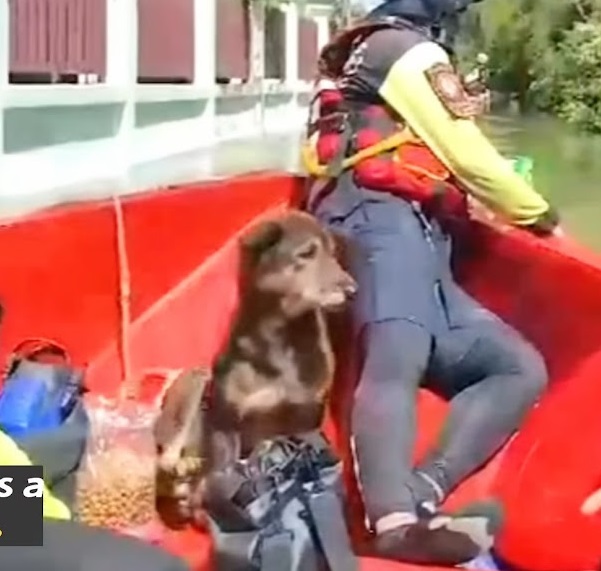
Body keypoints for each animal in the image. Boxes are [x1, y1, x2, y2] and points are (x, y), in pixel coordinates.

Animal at [154, 210, 357, 525]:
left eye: (333, 253)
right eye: (307, 253)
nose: (352, 290)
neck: (281, 337)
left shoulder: (308, 412)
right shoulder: (227, 418)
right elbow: (221, 468)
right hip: (196, 381)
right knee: (166, 459)